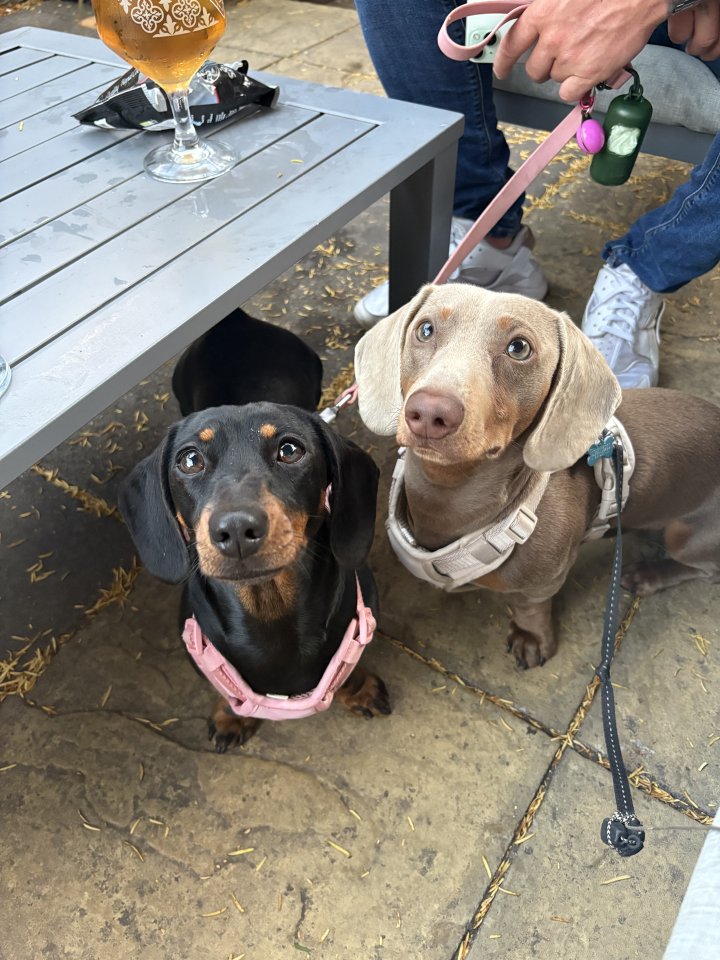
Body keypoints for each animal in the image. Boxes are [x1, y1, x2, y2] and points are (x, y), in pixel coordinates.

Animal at [120, 313, 389, 751]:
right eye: (189, 460)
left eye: (290, 450)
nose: (235, 529)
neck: (269, 609)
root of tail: (234, 322)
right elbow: (224, 687)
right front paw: (231, 716)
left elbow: (348, 666)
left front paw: (359, 688)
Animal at [354, 283, 720, 669]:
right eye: (425, 329)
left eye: (519, 348)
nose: (429, 412)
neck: (450, 497)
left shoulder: (547, 579)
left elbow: (530, 605)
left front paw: (530, 637)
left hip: (686, 537)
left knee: (708, 570)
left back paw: (649, 576)